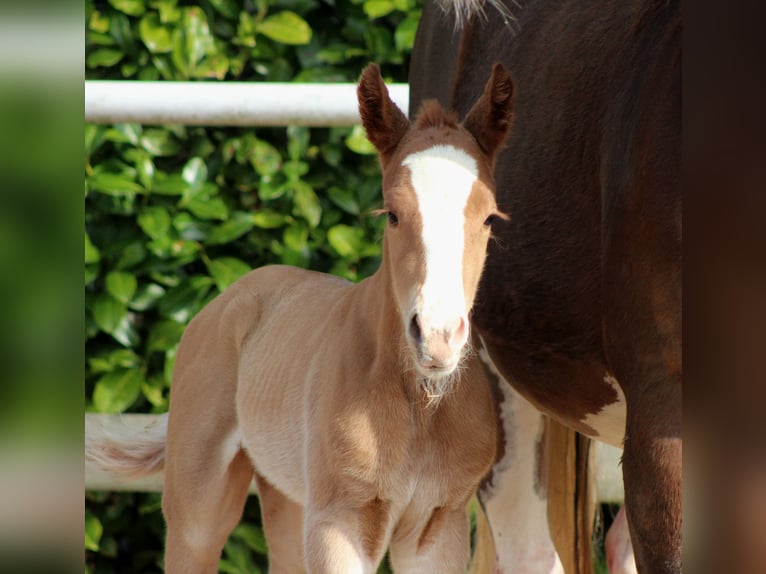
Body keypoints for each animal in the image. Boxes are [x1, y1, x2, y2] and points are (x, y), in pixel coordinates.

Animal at [86, 62, 516, 573]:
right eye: (392, 214)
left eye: (489, 219)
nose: (437, 337)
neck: (420, 404)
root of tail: (229, 298)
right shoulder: (338, 521)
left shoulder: (438, 524)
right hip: (199, 505)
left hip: (285, 495)